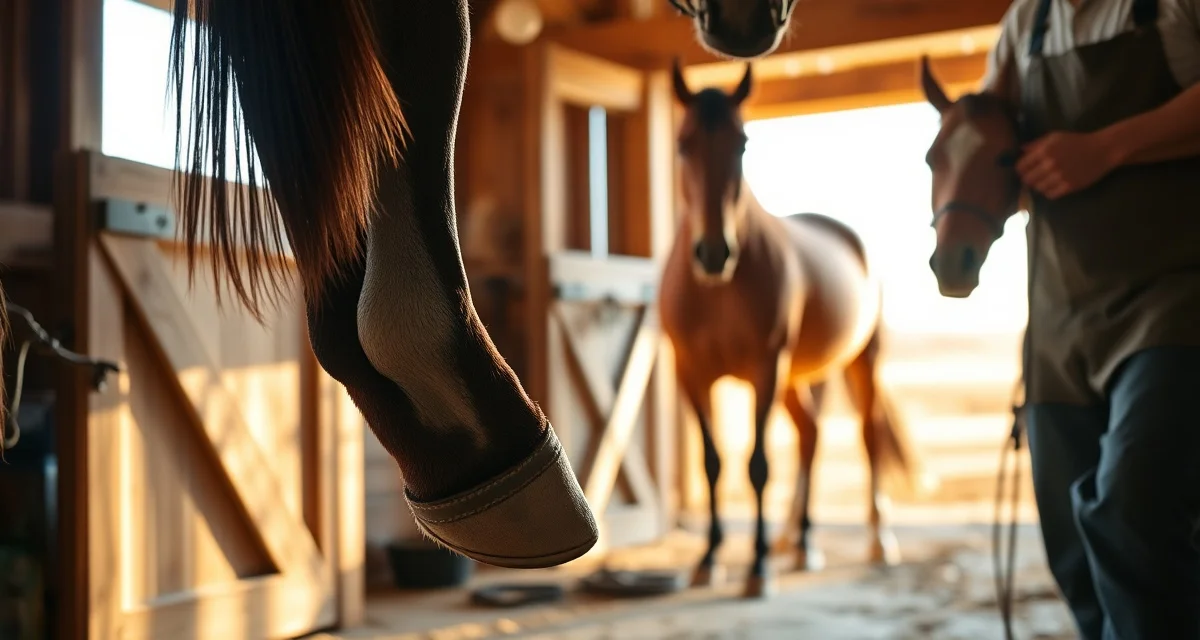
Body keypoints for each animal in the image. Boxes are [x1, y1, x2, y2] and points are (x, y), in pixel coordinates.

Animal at [659, 60, 924, 598]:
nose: (714, 253)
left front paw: (757, 567)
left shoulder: (765, 368)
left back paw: (878, 540)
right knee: (811, 435)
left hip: (860, 362)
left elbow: (758, 465)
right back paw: (799, 541)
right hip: (796, 379)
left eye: (741, 143)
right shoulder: (691, 374)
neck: (717, 290)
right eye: (682, 143)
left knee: (868, 437)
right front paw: (709, 558)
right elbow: (713, 463)